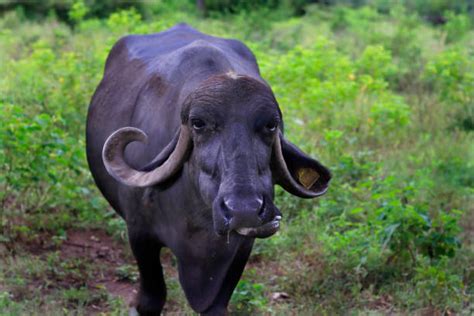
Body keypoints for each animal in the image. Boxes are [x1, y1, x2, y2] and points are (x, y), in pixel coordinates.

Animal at [86, 23, 330, 314]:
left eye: (271, 125)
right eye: (198, 123)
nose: (244, 210)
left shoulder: (242, 247)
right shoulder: (139, 235)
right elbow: (150, 299)